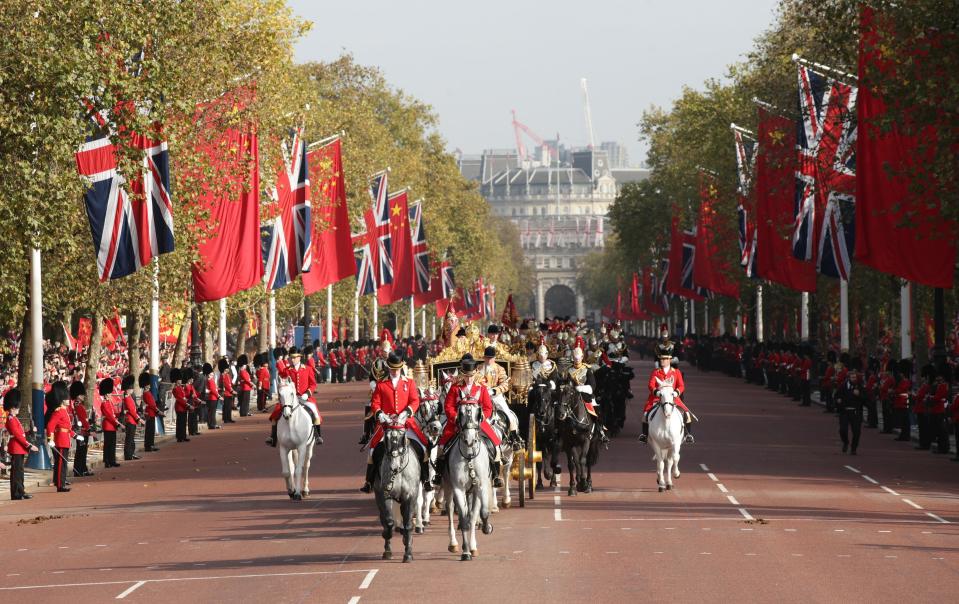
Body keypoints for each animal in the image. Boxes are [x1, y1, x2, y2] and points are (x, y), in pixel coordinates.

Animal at [374, 422, 422, 564]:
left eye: (402, 438)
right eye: (387, 439)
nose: (394, 468)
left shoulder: (410, 497)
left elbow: (408, 524)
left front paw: (408, 553)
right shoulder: (384, 495)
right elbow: (389, 522)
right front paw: (387, 538)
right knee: (385, 519)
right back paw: (388, 548)